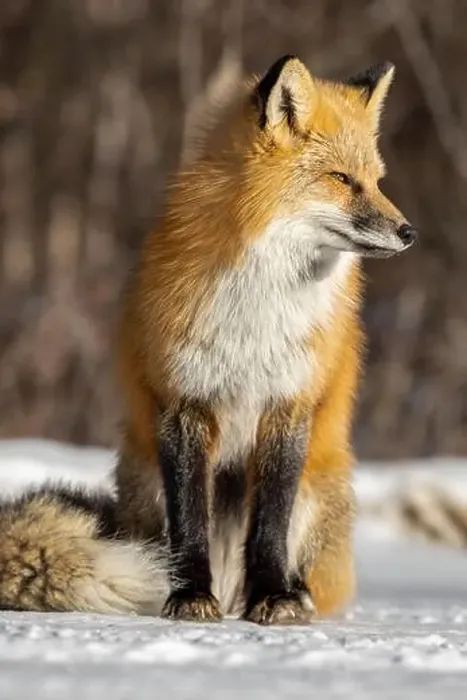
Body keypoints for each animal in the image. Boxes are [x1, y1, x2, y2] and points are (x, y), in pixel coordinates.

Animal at [0, 55, 417, 623]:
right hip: (147, 484)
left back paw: (292, 593)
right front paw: (189, 595)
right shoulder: (184, 404)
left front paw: (274, 596)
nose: (409, 232)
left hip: (315, 484)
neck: (256, 312)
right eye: (340, 179)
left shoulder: (288, 404)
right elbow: (189, 520)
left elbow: (270, 525)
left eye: (376, 181)